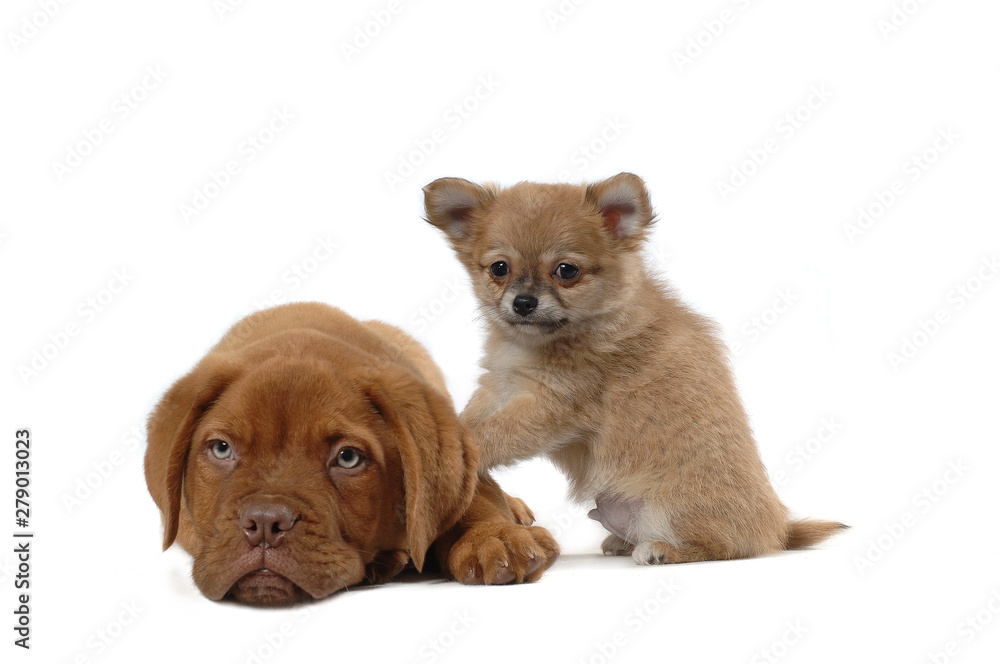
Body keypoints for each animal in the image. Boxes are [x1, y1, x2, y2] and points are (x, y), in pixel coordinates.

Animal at [422, 172, 845, 565]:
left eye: (566, 270)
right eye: (499, 268)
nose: (523, 302)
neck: (535, 344)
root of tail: (778, 530)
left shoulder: (552, 405)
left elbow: (490, 435)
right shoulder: (500, 386)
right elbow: (471, 417)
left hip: (671, 507)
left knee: (722, 548)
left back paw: (660, 550)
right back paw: (622, 542)